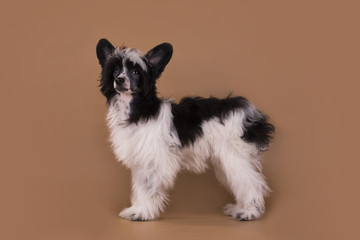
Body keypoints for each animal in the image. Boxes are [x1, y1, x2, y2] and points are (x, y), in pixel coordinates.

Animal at [96, 39, 276, 221]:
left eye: (135, 72)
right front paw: (139, 209)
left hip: (234, 156)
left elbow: (148, 188)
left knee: (251, 183)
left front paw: (142, 212)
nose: (119, 80)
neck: (140, 111)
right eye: (115, 70)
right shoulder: (141, 162)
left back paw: (249, 211)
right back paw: (240, 208)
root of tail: (250, 113)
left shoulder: (154, 161)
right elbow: (140, 188)